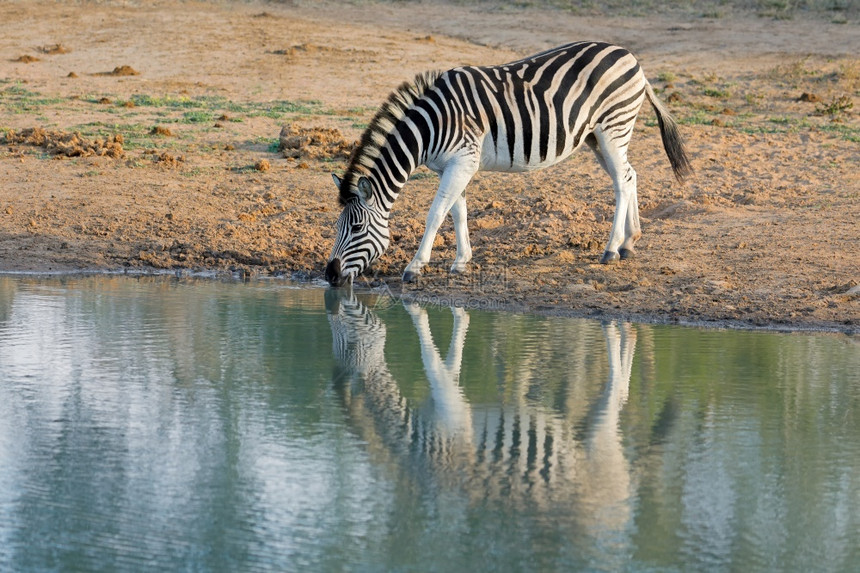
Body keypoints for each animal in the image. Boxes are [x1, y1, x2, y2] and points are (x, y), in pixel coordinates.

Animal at [322, 41, 692, 286]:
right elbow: (457, 212)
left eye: (357, 228)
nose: (330, 275)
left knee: (622, 181)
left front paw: (415, 266)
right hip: (597, 137)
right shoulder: (454, 166)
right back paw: (629, 241)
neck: (431, 126)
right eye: (336, 227)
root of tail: (629, 56)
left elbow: (436, 214)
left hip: (613, 127)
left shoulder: (463, 160)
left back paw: (612, 249)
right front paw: (461, 261)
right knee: (629, 176)